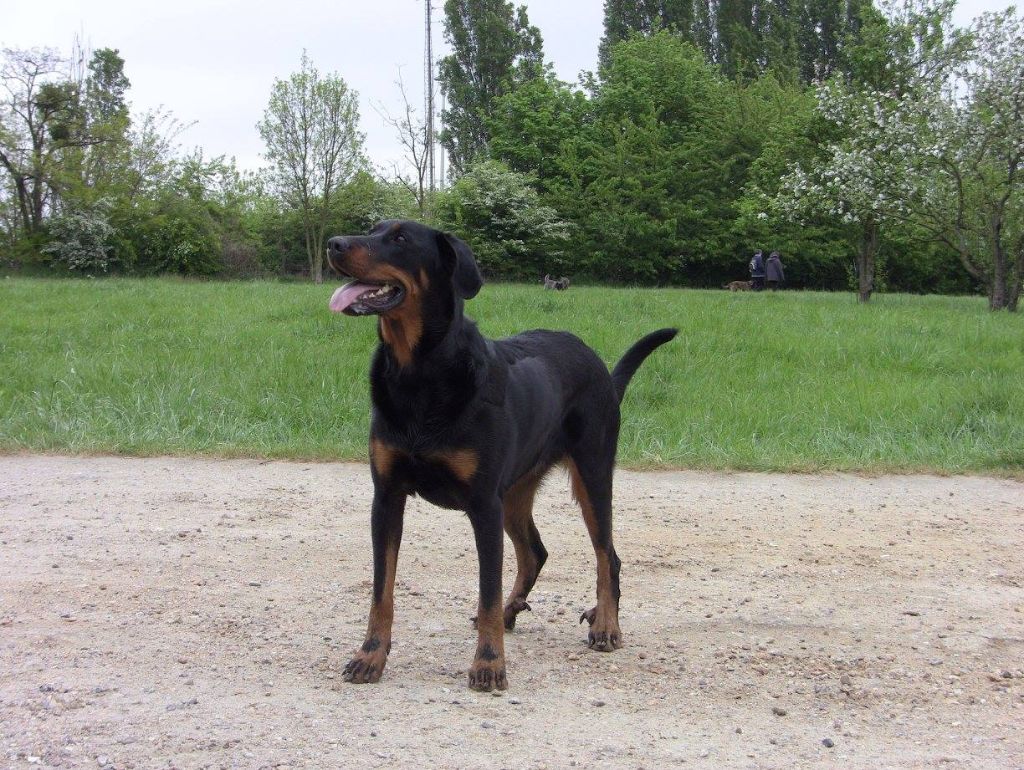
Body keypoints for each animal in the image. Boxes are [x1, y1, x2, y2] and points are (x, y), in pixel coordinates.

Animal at [327, 221, 675, 692]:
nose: (334, 244)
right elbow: (382, 591)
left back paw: (606, 624)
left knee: (607, 555)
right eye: (372, 228)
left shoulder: (483, 505)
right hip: (515, 492)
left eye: (400, 239)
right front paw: (369, 656)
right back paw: (516, 611)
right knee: (535, 552)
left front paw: (489, 663)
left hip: (592, 473)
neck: (419, 373)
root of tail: (599, 365)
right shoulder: (386, 497)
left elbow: (487, 589)